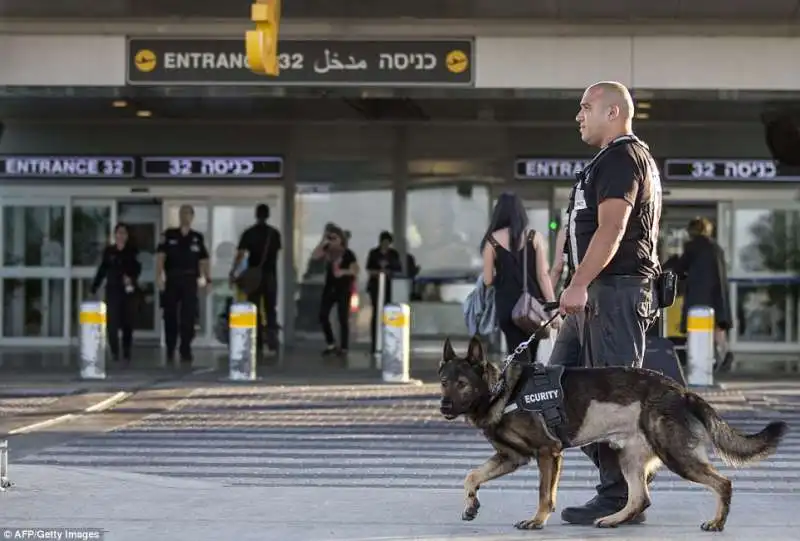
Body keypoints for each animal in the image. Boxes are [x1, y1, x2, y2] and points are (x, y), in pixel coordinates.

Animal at [440, 336, 792, 528]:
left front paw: (537, 521)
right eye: (444, 382)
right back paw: (613, 519)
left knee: (723, 483)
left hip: (676, 455)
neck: (502, 390)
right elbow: (471, 476)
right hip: (629, 457)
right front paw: (470, 505)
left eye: (462, 384)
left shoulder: (547, 453)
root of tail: (680, 391)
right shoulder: (511, 457)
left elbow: (544, 494)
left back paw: (717, 522)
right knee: (640, 498)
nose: (443, 407)